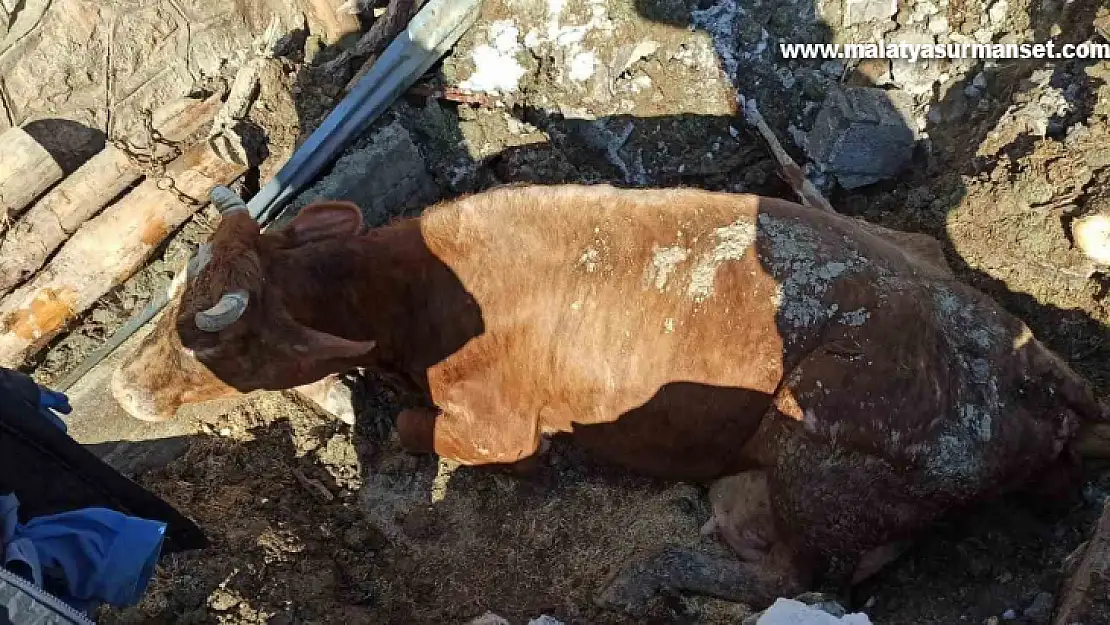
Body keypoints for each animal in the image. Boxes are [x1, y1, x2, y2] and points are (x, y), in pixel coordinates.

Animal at [108, 183, 1105, 612]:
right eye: (175, 292)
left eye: (215, 340)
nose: (120, 381)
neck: (407, 293)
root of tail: (1046, 377)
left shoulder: (505, 431)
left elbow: (416, 431)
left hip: (812, 456)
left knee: (803, 577)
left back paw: (648, 571)